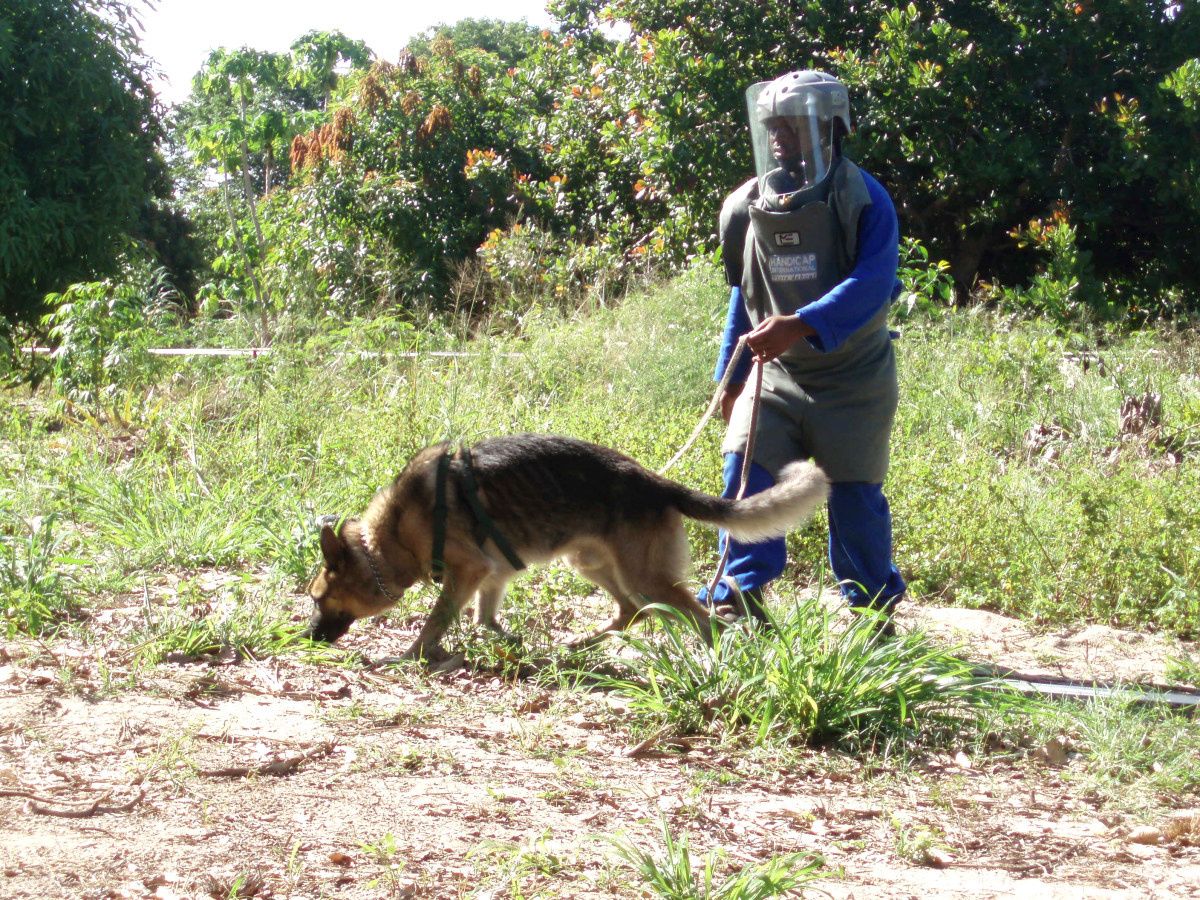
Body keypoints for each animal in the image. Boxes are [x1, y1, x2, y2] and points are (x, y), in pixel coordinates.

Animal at [309, 436, 830, 662]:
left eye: (318, 599)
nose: (309, 638)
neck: (392, 535)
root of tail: (656, 483)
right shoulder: (490, 574)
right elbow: (483, 618)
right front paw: (507, 642)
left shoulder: (468, 570)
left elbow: (437, 619)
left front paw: (409, 654)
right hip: (591, 563)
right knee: (630, 613)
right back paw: (577, 644)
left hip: (644, 578)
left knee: (704, 620)